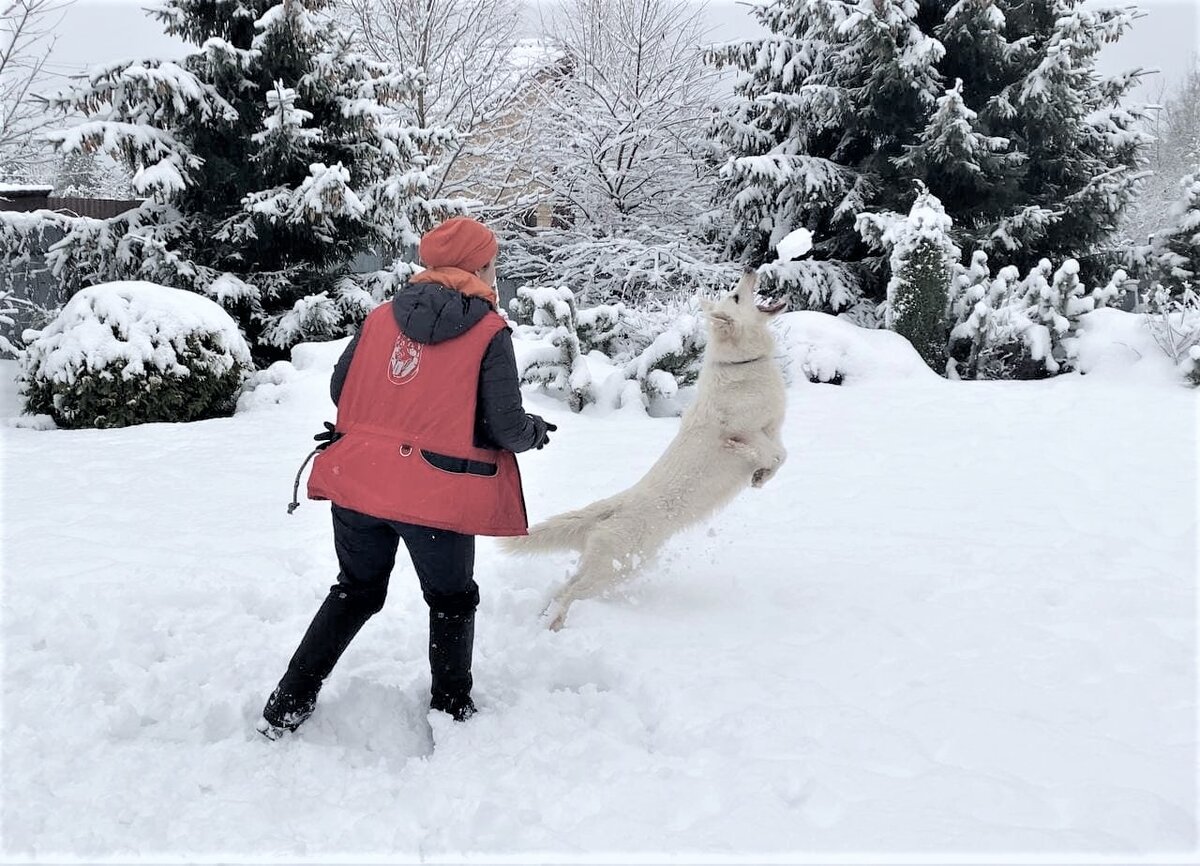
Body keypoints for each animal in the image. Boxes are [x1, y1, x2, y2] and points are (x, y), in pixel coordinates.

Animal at [504, 269, 792, 628]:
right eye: (737, 296)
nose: (750, 270)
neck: (741, 364)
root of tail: (616, 506)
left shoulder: (773, 432)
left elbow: (782, 456)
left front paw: (761, 478)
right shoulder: (743, 433)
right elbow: (765, 451)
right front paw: (757, 470)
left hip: (614, 567)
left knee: (564, 588)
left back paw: (546, 620)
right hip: (615, 569)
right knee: (570, 593)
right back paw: (554, 625)